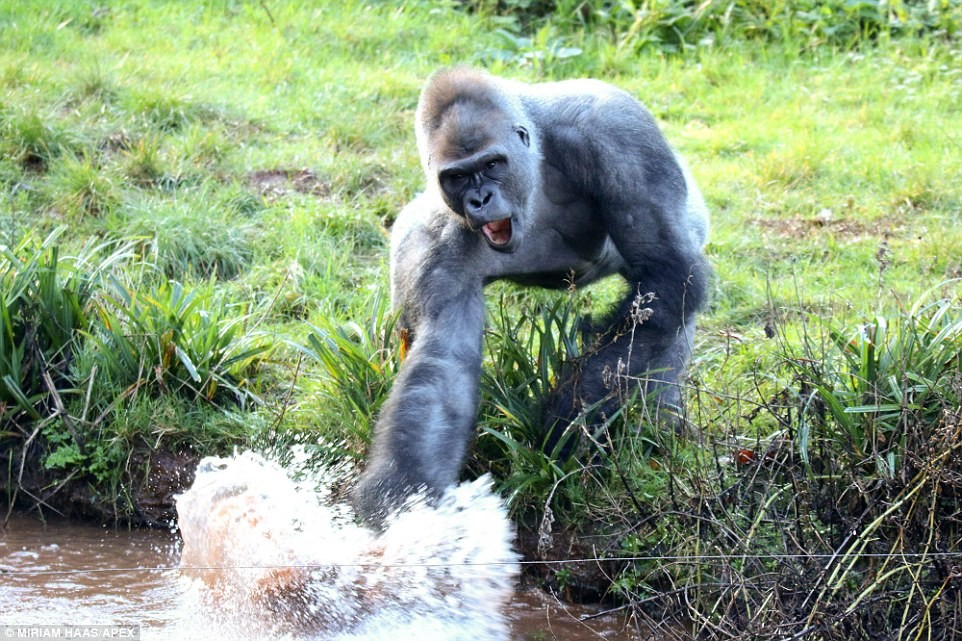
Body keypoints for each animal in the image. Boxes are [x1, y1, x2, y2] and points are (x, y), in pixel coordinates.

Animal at [350, 67, 704, 524]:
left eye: (492, 164)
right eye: (457, 176)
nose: (480, 199)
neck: (534, 160)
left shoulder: (618, 137)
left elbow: (668, 275)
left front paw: (565, 419)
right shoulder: (432, 245)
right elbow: (441, 367)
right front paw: (404, 501)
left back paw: (658, 427)